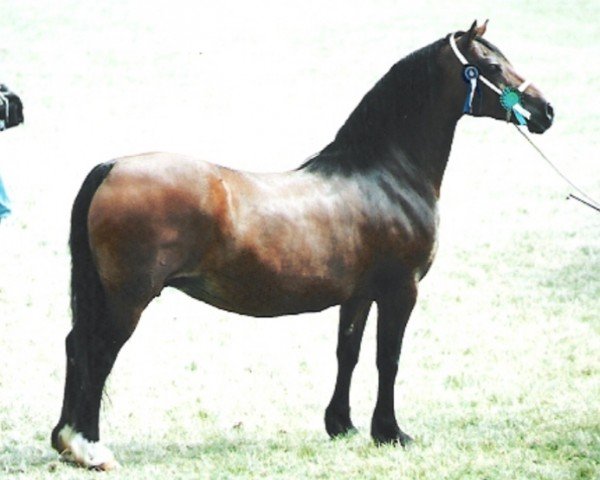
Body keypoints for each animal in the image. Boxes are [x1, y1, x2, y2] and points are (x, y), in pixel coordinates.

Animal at [50, 22, 552, 468]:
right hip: (129, 298)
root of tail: (113, 166)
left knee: (76, 345)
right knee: (97, 353)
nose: (546, 111)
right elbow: (387, 359)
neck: (384, 174)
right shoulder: (401, 291)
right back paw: (92, 449)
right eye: (491, 65)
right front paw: (390, 432)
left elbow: (348, 353)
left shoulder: (359, 294)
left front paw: (342, 425)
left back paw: (67, 442)